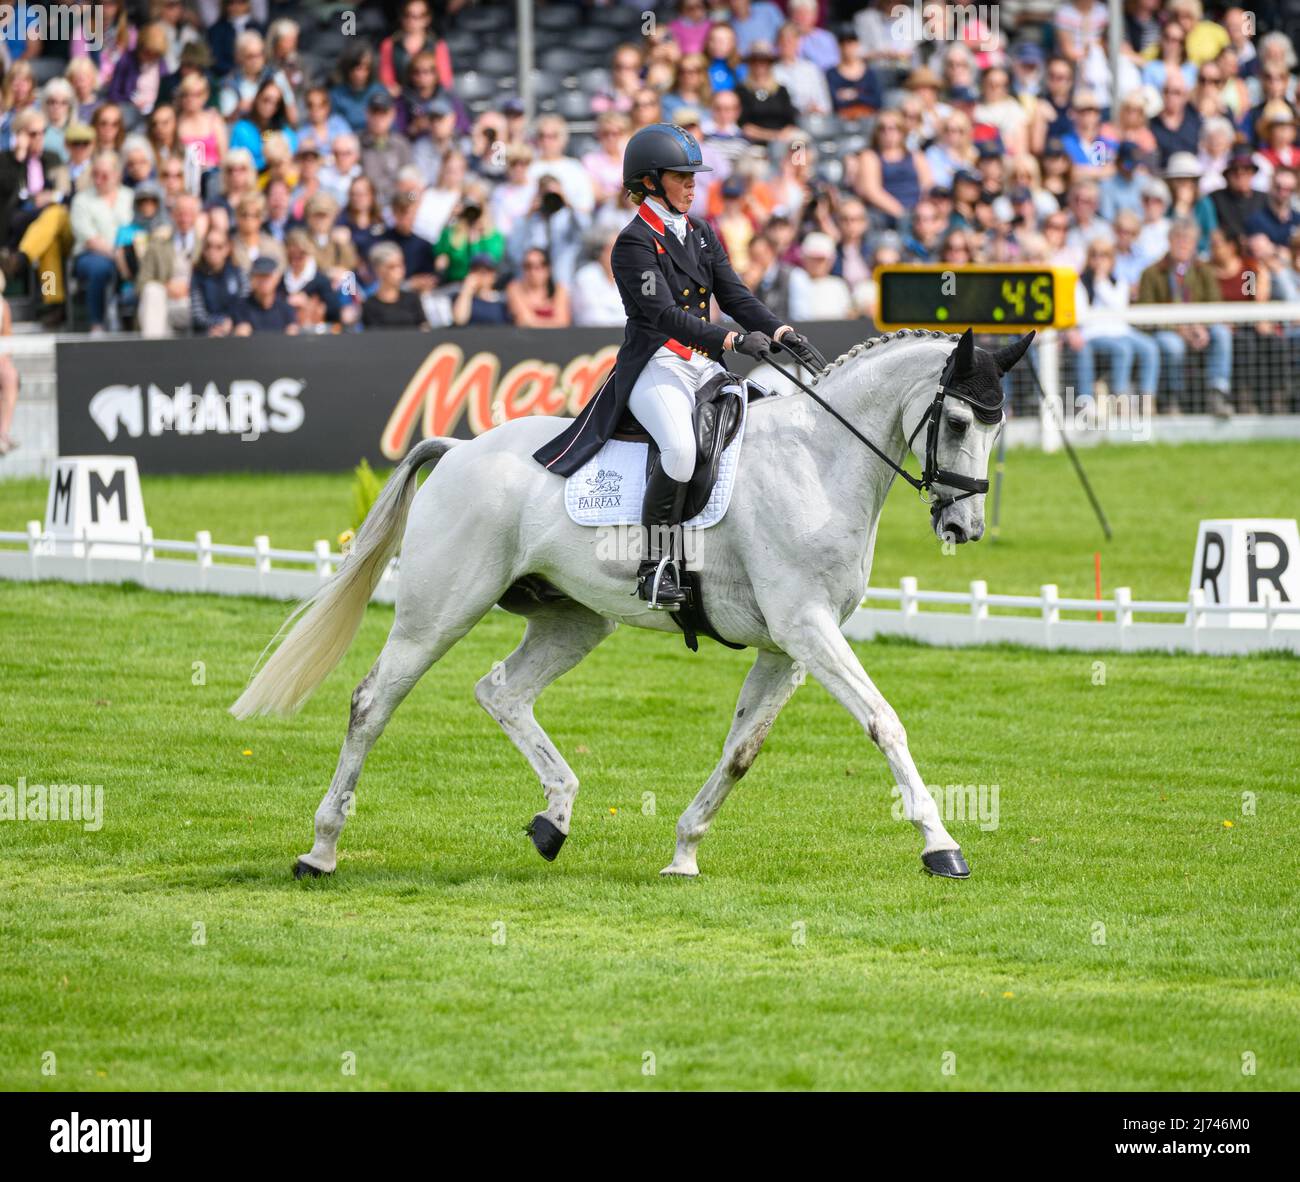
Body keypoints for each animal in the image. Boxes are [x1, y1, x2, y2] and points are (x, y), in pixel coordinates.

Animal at [231, 327, 1024, 879]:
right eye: (957, 422)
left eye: (997, 426)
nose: (964, 527)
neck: (818, 461)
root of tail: (458, 449)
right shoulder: (807, 628)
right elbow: (883, 722)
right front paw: (941, 846)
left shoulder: (788, 646)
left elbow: (741, 750)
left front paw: (684, 852)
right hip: (441, 610)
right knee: (373, 702)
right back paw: (321, 850)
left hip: (574, 620)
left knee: (501, 690)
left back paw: (554, 818)